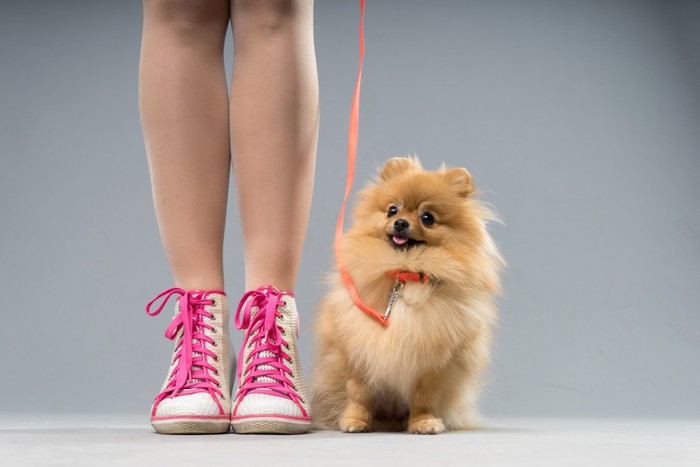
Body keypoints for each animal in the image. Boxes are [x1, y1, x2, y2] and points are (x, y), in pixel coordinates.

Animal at [312, 157, 504, 436]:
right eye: (392, 210)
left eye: (428, 218)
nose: (401, 223)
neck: (405, 275)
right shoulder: (357, 349)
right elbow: (359, 393)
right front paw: (355, 421)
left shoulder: (433, 363)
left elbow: (424, 398)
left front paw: (423, 423)